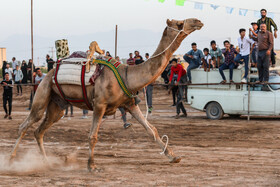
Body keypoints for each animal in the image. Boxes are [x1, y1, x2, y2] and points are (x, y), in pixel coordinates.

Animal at [10, 17, 203, 171]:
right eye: (179, 23)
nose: (198, 21)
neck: (127, 76)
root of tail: (47, 74)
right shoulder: (99, 105)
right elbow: (93, 136)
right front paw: (92, 166)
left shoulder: (129, 104)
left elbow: (151, 130)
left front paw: (173, 156)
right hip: (43, 93)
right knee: (25, 125)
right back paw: (11, 160)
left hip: (57, 106)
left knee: (39, 131)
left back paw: (46, 162)